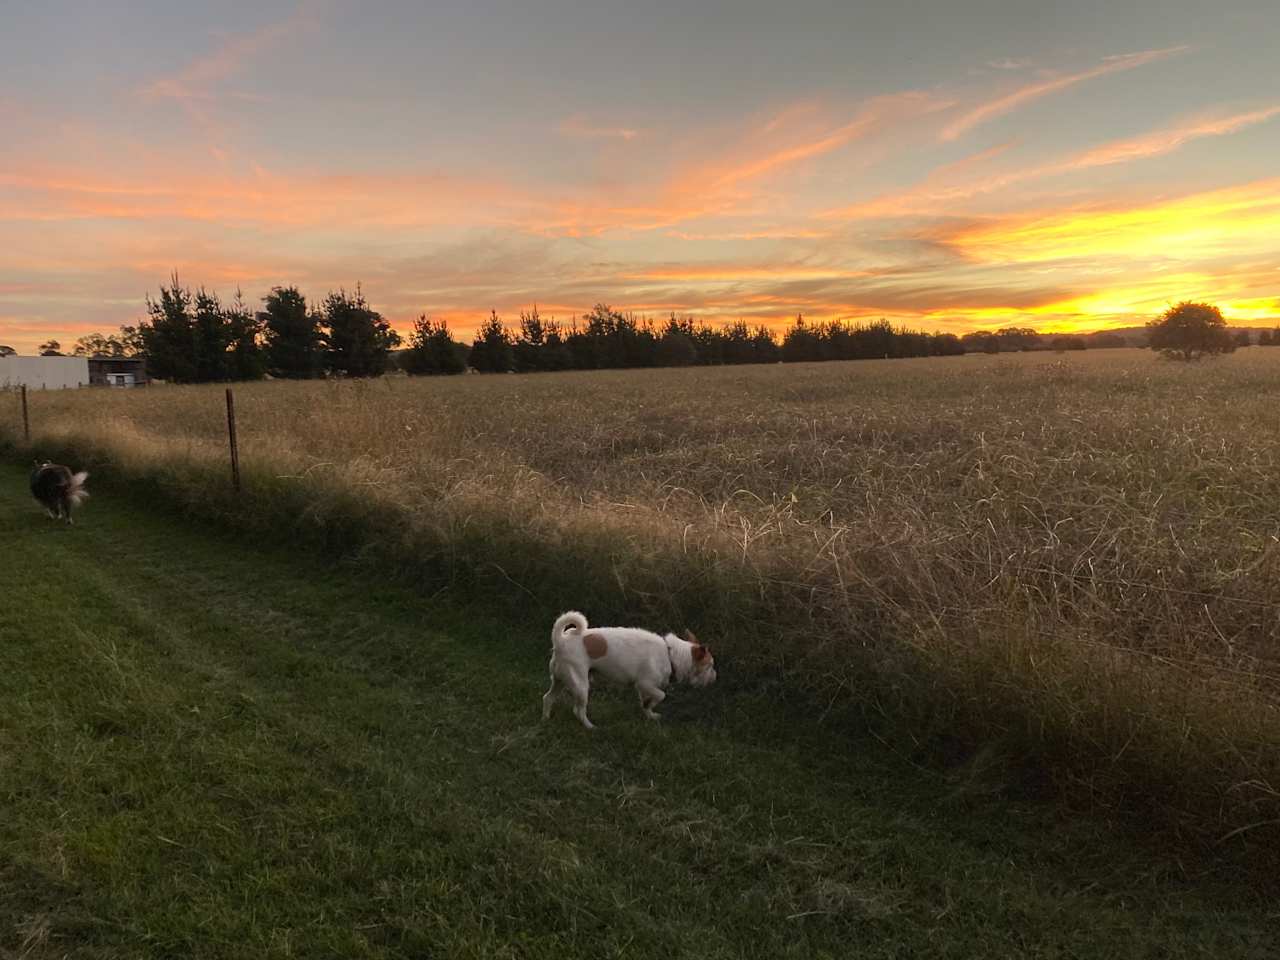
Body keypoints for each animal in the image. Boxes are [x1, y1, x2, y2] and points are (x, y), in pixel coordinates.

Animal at [542, 611, 721, 732]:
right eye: (710, 666)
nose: (715, 677)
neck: (671, 655)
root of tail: (560, 641)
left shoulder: (644, 688)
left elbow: (647, 702)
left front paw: (649, 713)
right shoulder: (644, 683)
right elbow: (661, 695)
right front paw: (649, 706)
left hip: (559, 681)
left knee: (548, 698)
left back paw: (546, 719)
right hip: (580, 685)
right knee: (578, 710)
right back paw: (590, 726)